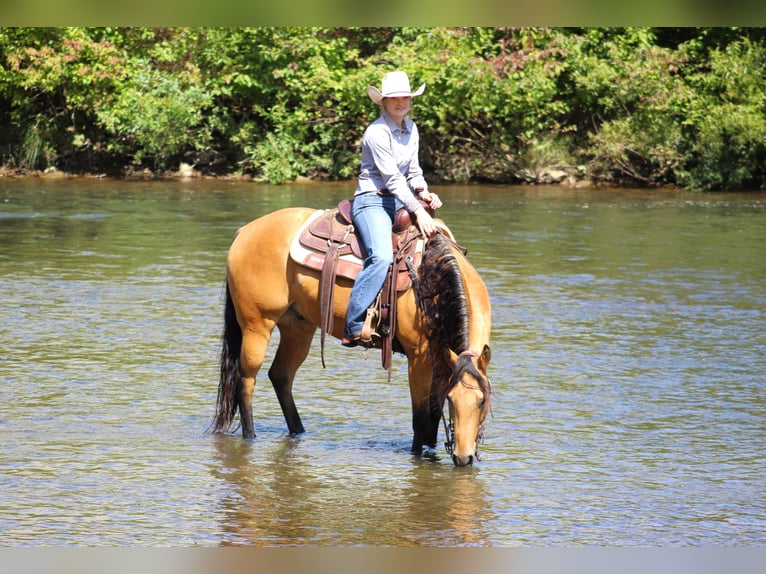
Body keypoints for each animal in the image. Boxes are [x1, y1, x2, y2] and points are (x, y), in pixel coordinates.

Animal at [208, 207, 492, 468]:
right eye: (453, 401)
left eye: (482, 402)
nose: (463, 458)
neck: (432, 281)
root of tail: (245, 232)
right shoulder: (418, 355)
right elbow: (420, 418)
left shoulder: (438, 357)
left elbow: (432, 415)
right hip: (257, 325)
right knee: (246, 382)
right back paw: (251, 436)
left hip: (298, 327)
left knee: (280, 376)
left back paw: (299, 431)